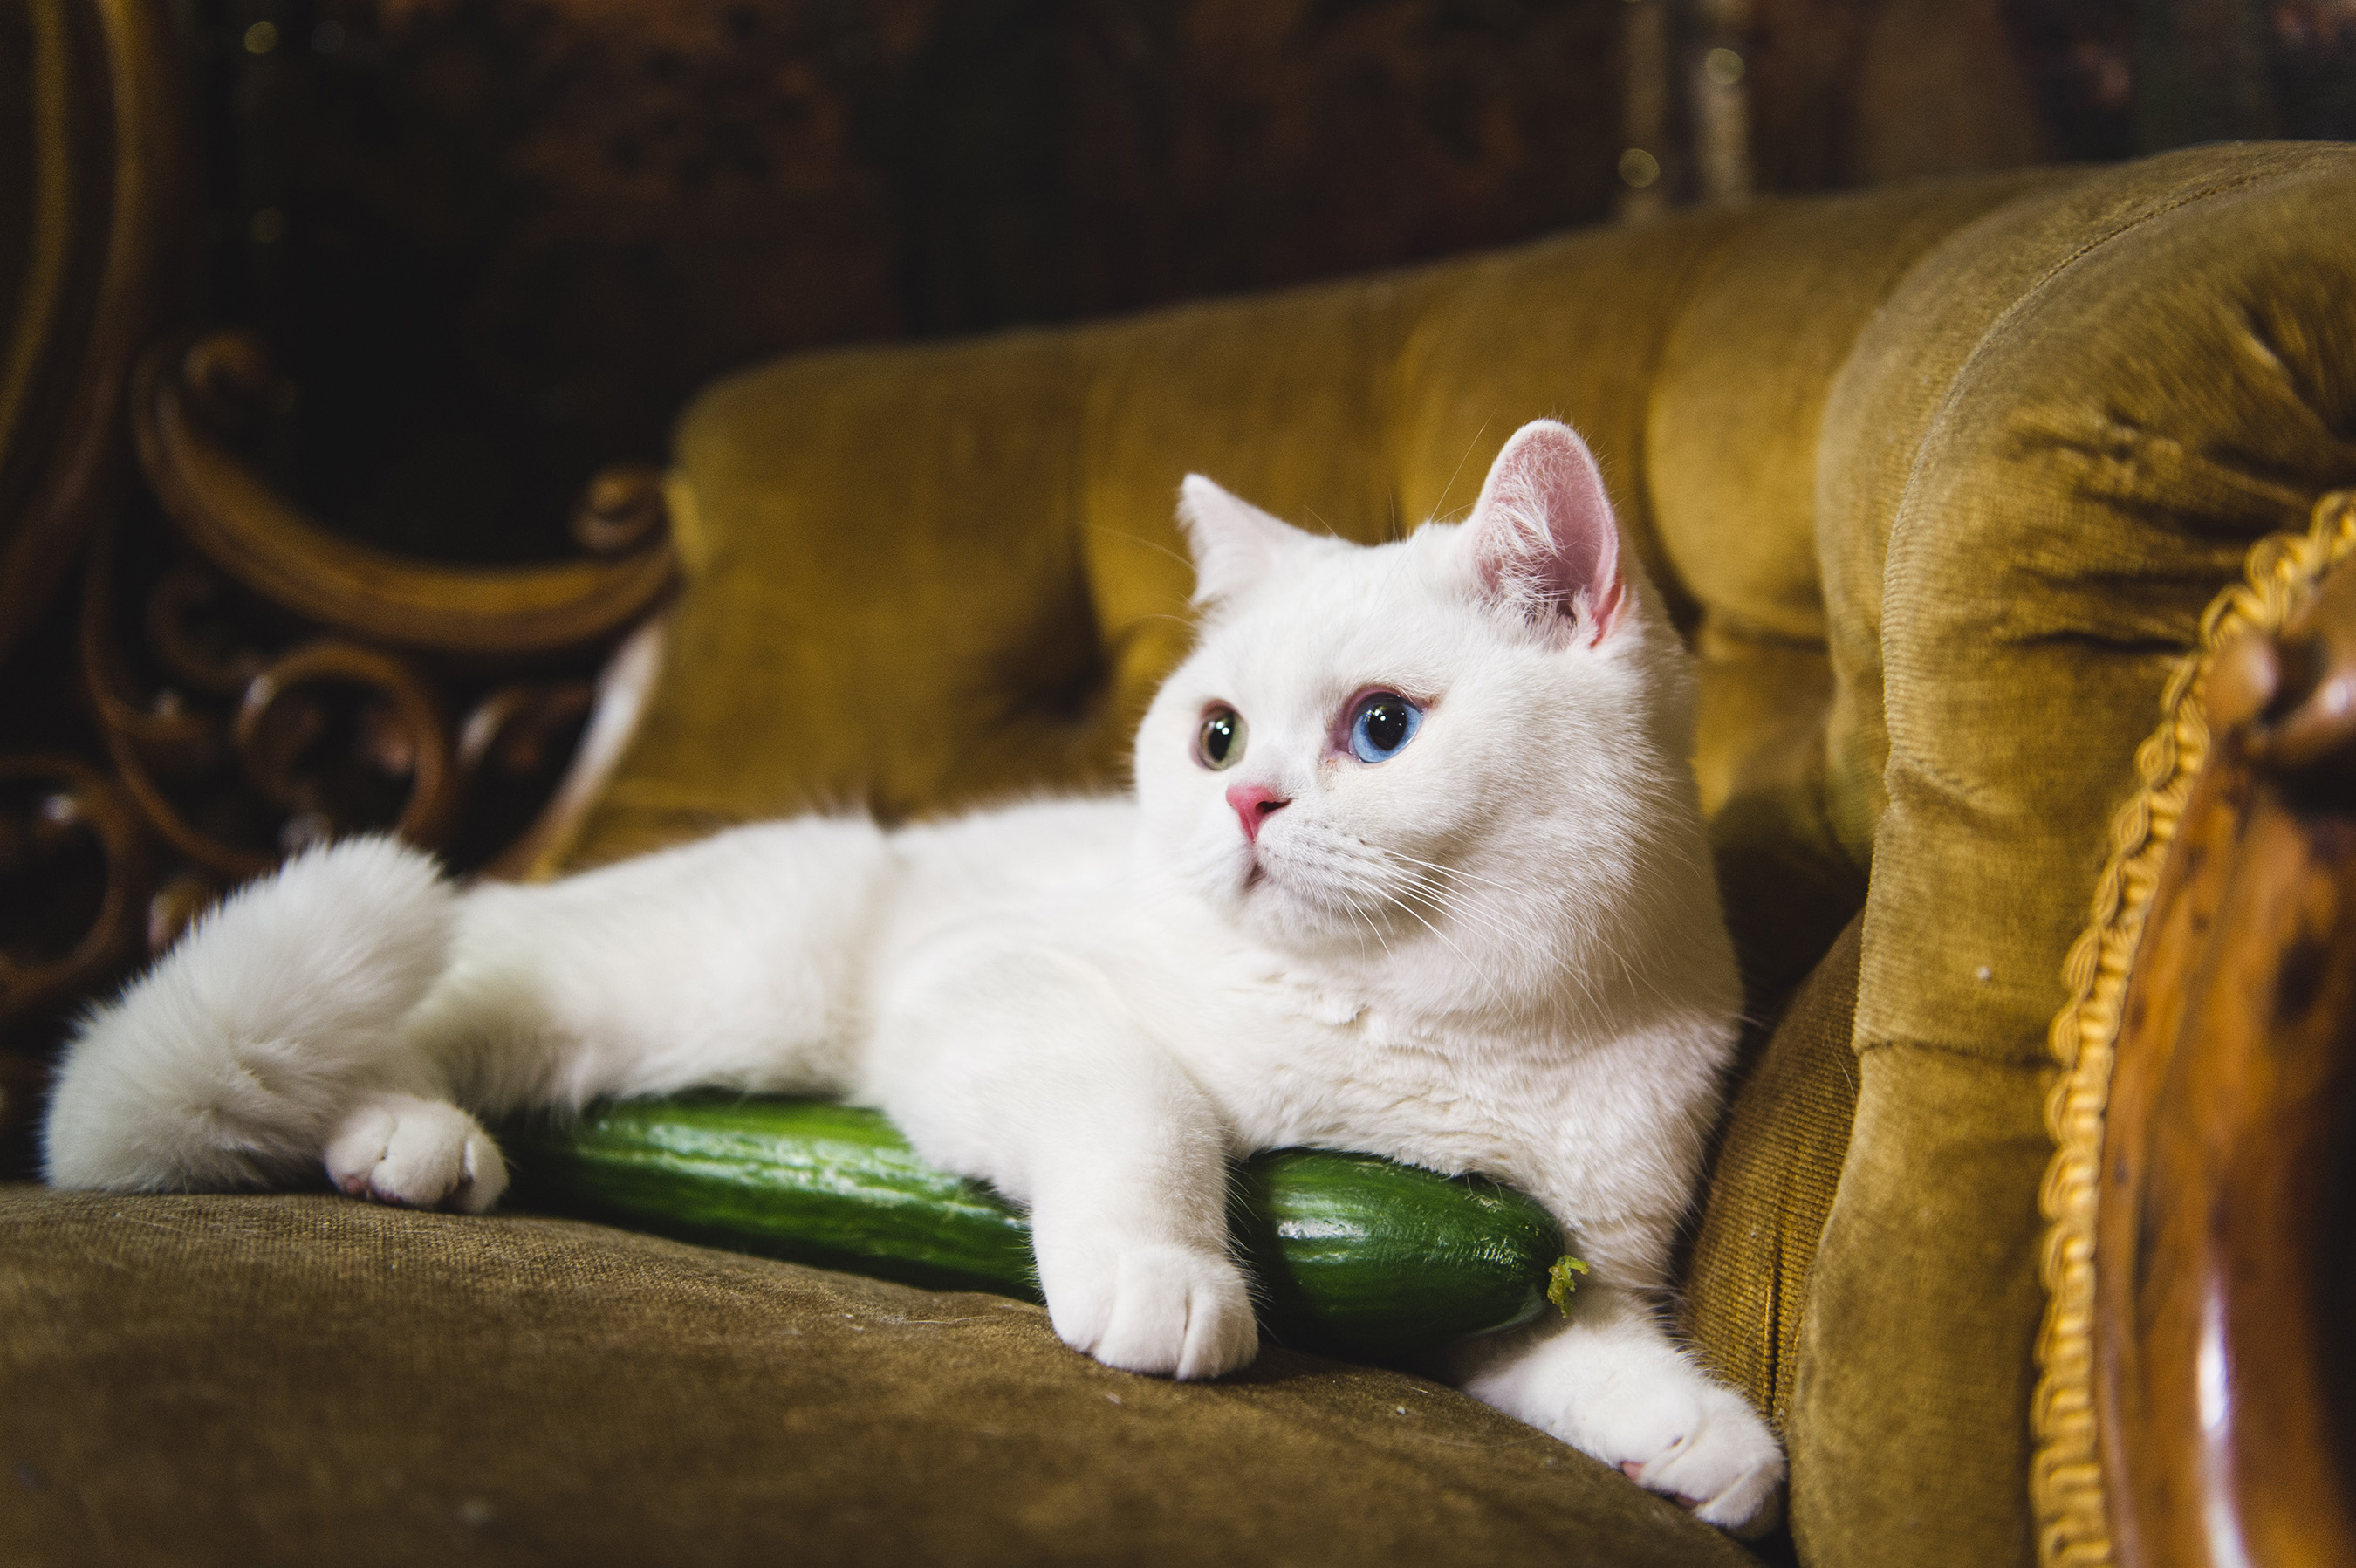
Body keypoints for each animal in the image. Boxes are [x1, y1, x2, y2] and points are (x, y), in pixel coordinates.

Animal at [45, 419, 1781, 1525]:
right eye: (1218, 733)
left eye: (1381, 728)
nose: (1244, 804)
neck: (1439, 1024)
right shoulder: (994, 995)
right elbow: (1149, 1110)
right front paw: (1169, 1278)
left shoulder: (1532, 1260)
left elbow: (1587, 1344)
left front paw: (1699, 1437)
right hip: (689, 988)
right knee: (399, 1028)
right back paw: (402, 1138)